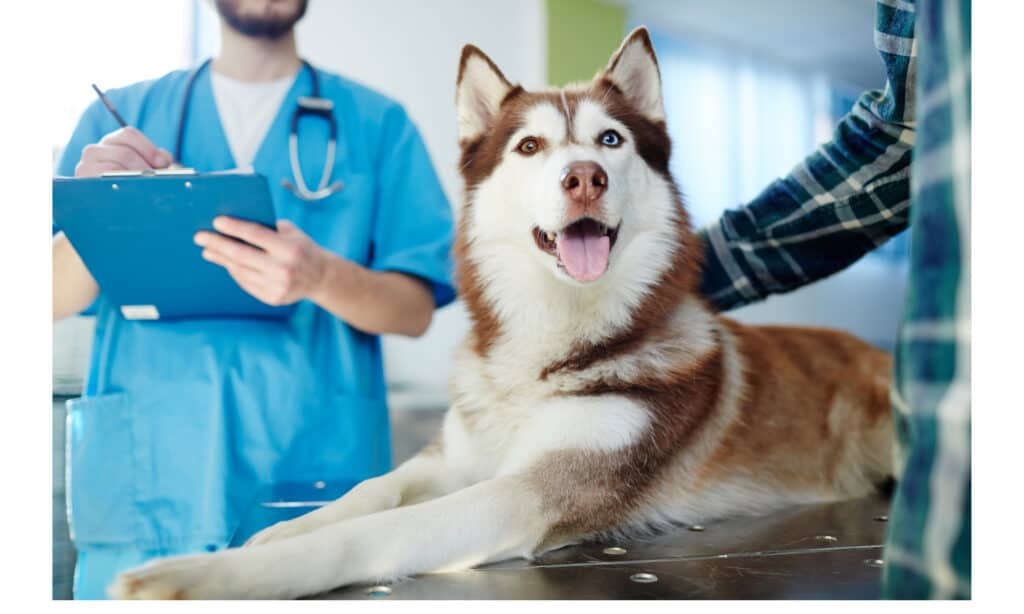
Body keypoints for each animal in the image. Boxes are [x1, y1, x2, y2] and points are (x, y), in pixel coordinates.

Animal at [112, 28, 892, 597]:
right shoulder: (456, 458)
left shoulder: (531, 490)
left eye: (611, 140)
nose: (585, 178)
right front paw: (282, 531)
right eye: (530, 146)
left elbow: (375, 533)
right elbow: (372, 489)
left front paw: (206, 574)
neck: (548, 347)